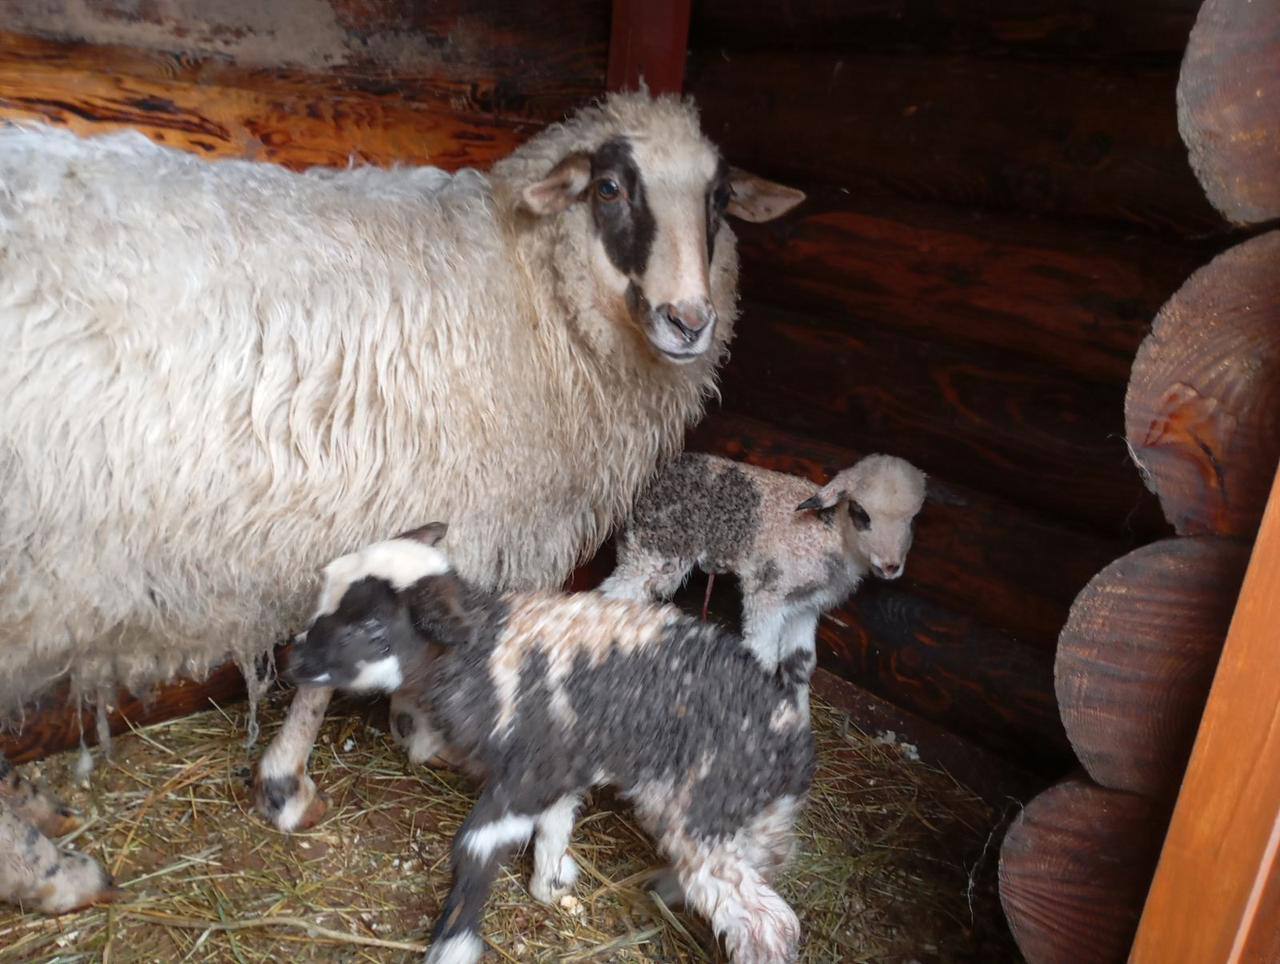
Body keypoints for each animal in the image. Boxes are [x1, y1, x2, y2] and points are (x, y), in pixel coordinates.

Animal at [0, 90, 798, 911]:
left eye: (720, 198)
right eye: (609, 189)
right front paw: (301, 779)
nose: (689, 321)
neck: (525, 284)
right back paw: (50, 872)